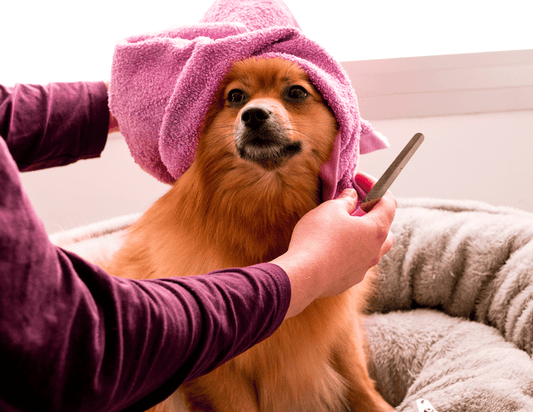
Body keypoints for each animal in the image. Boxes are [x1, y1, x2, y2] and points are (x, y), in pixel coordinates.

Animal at [106, 57, 392, 412]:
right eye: (236, 97)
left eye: (296, 92)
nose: (253, 114)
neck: (268, 204)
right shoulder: (222, 371)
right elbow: (239, 405)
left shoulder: (340, 328)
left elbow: (359, 381)